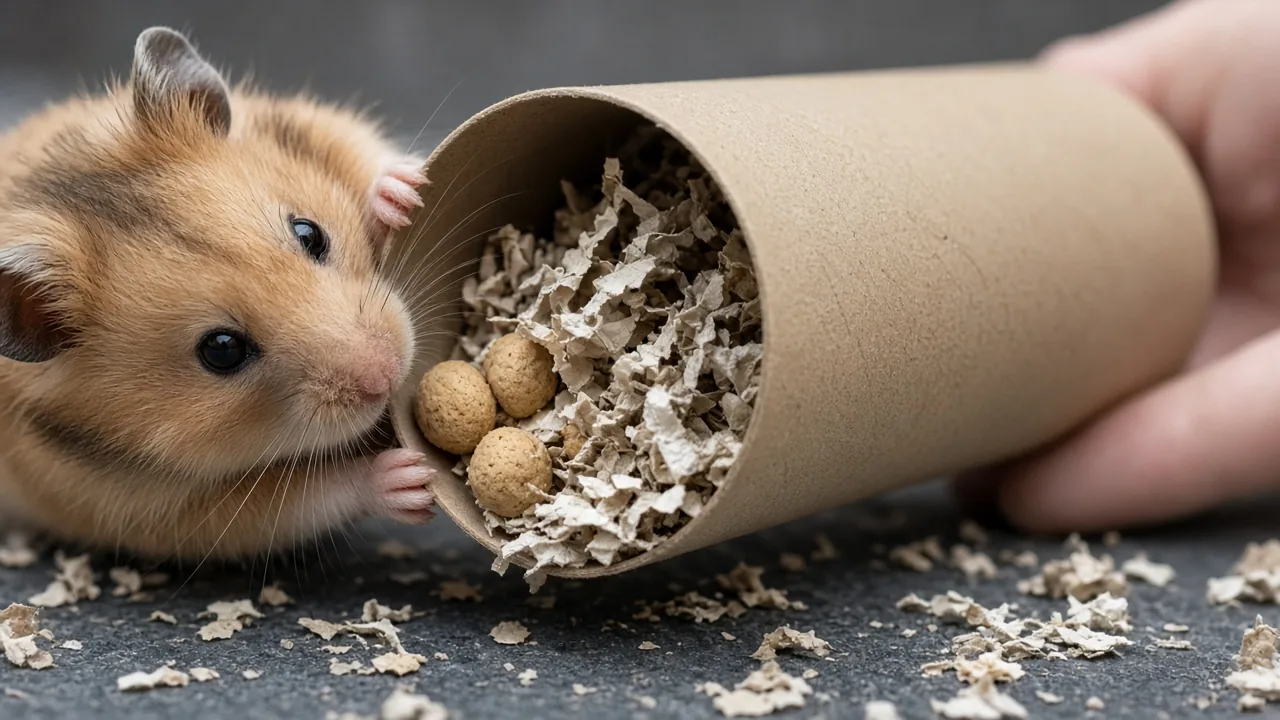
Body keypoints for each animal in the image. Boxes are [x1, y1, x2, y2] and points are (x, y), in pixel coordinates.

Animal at [0, 26, 438, 562]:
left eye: (309, 233)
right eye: (221, 350)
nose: (388, 374)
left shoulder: (328, 130)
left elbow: (369, 166)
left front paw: (401, 190)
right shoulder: (164, 513)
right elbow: (307, 499)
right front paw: (411, 480)